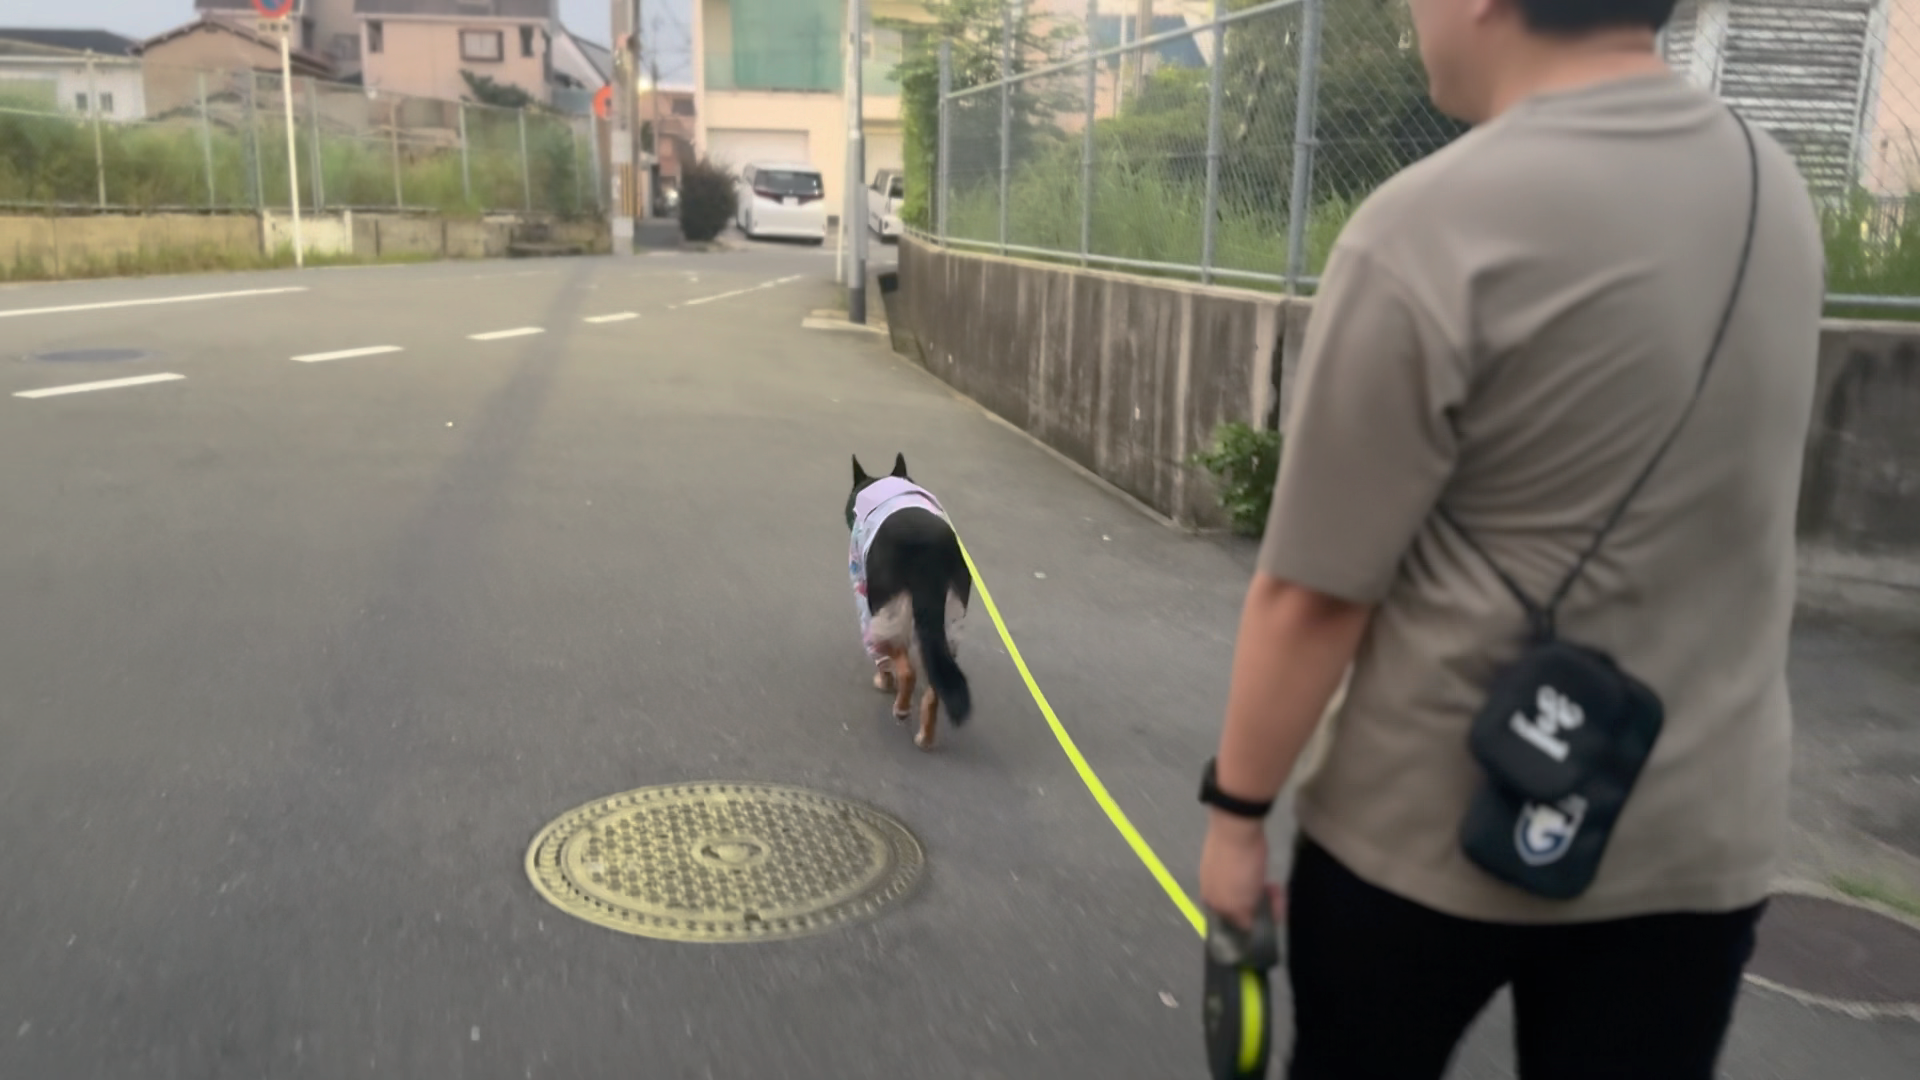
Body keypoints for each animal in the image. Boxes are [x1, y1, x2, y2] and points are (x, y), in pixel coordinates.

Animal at [846, 453, 972, 750]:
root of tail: (930, 554)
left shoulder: (864, 597)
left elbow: (882, 658)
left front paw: (883, 681)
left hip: (887, 610)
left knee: (907, 669)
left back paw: (901, 708)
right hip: (949, 621)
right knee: (935, 687)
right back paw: (925, 737)